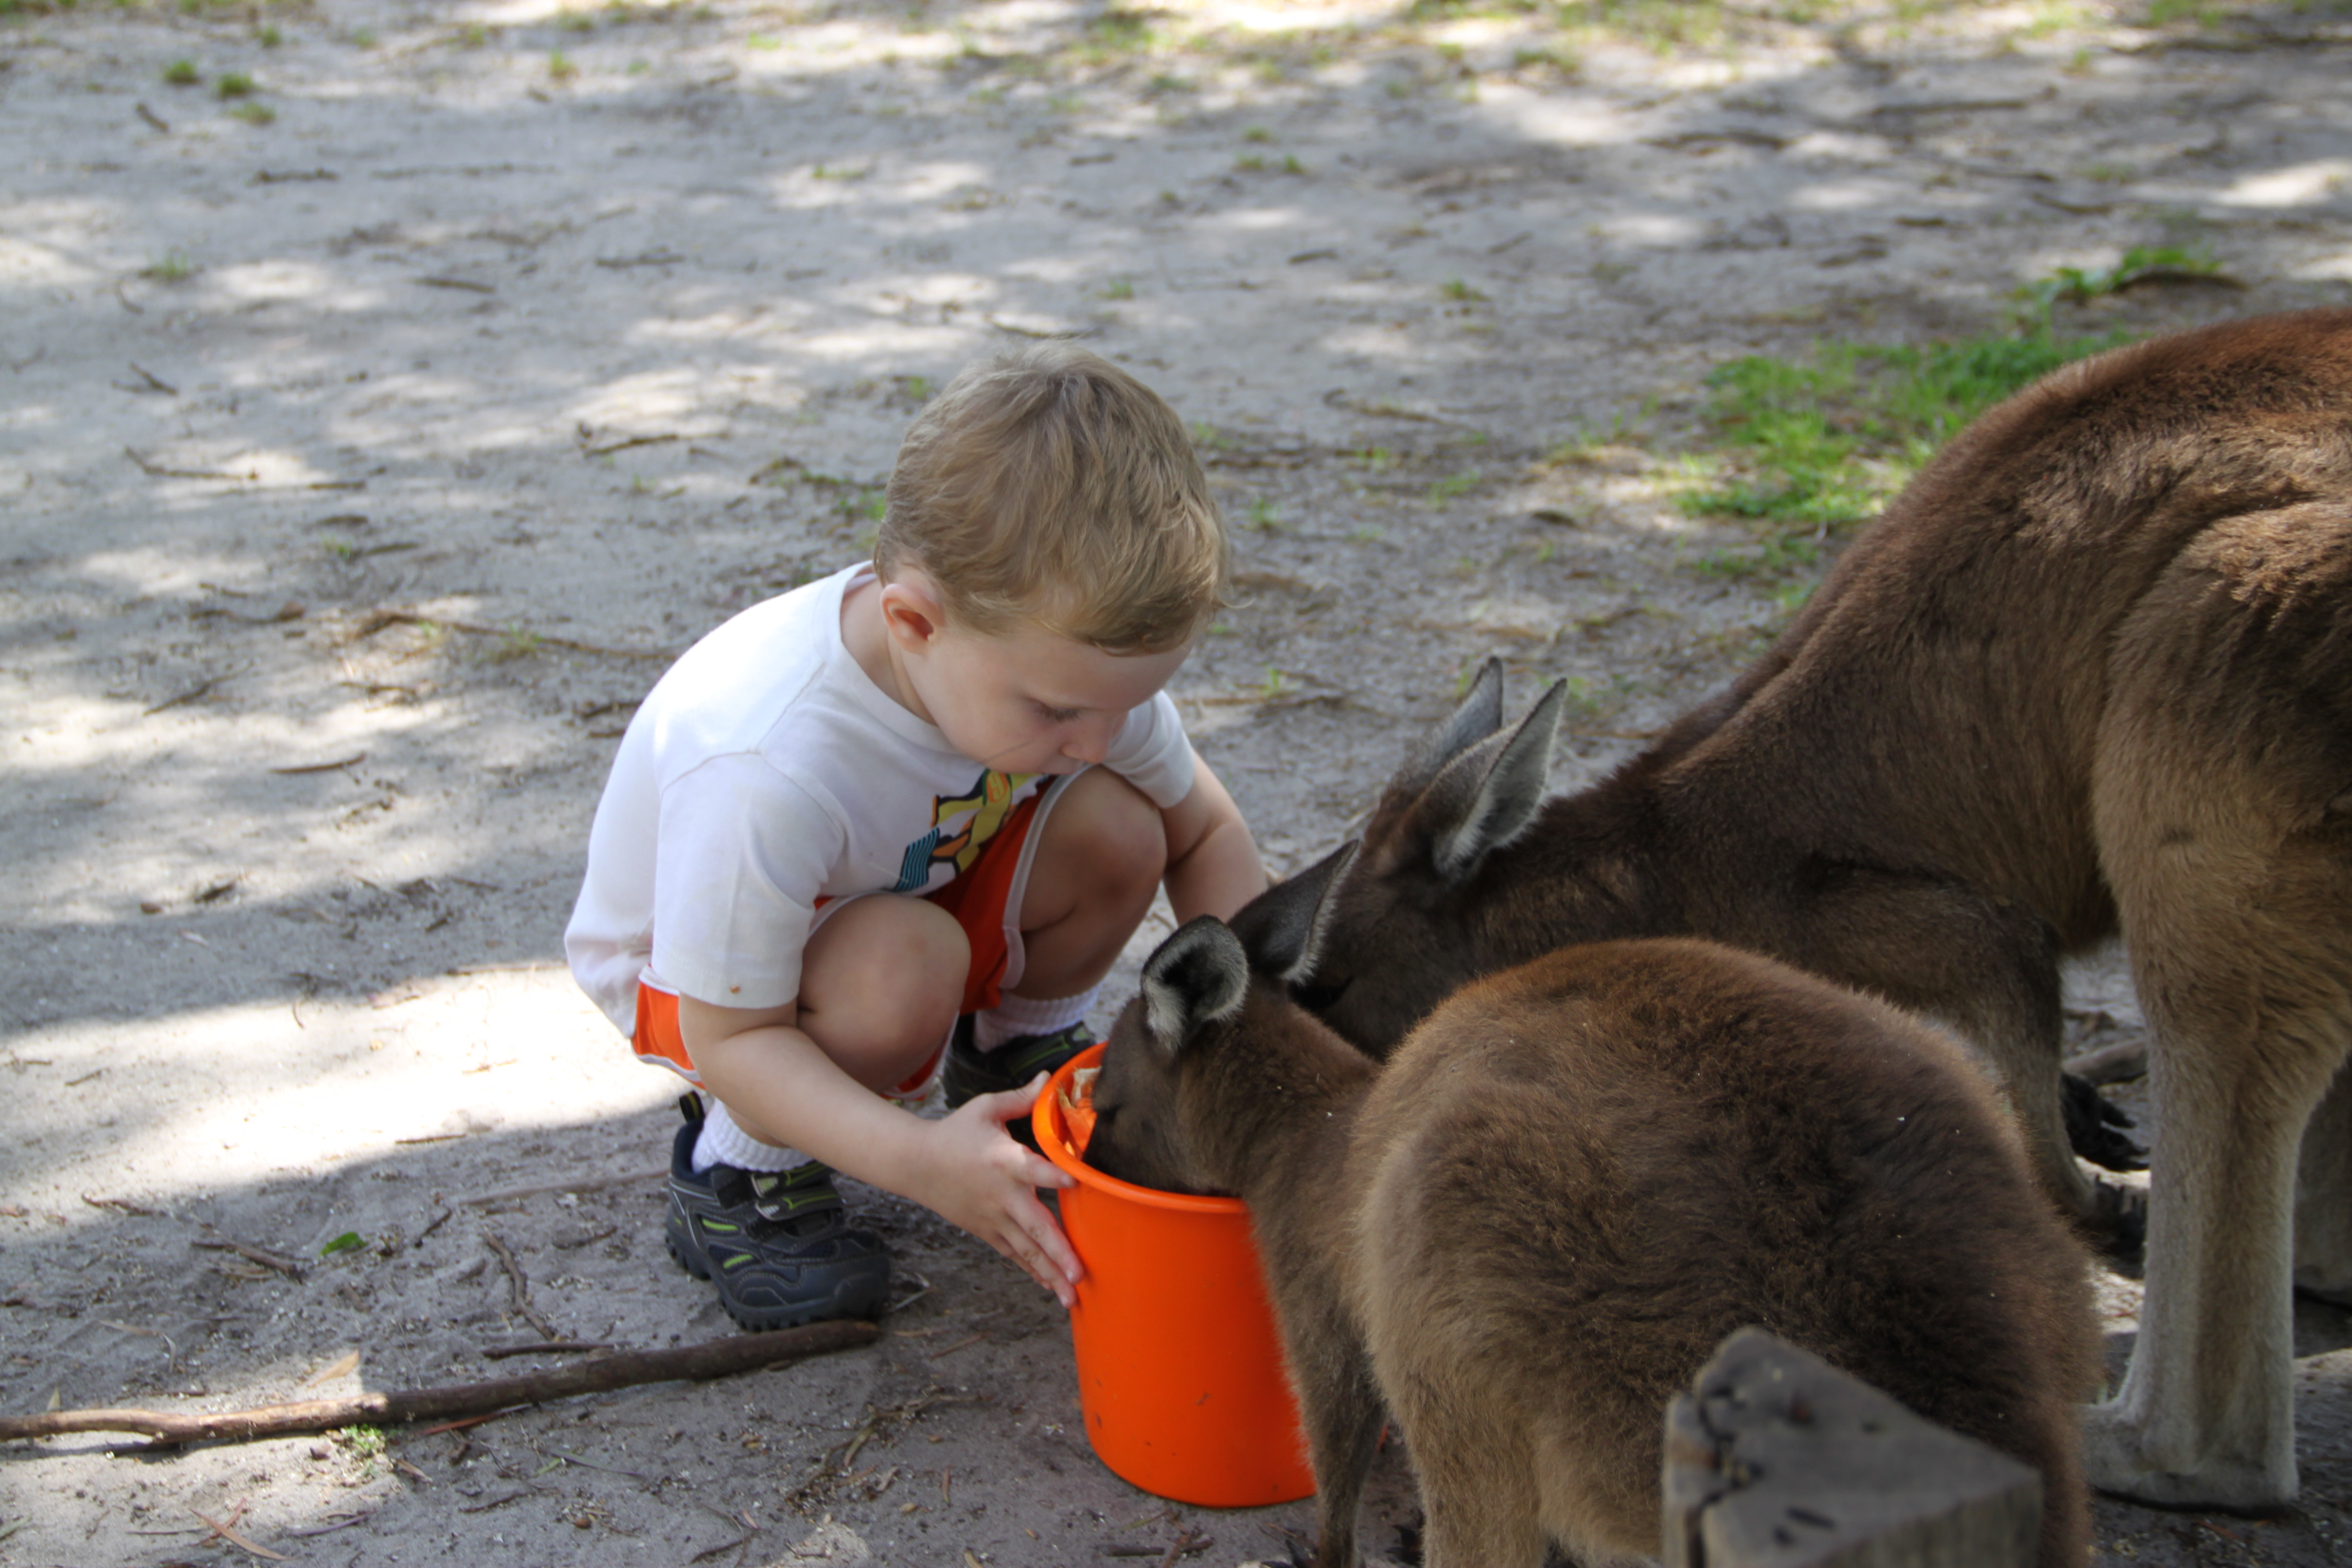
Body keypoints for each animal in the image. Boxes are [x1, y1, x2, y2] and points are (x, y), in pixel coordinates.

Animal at [1087, 914, 2099, 1568]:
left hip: (1474, 1297)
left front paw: (1324, 1551)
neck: (1318, 1122)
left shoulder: (1322, 1285)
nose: (1084, 1161)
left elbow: (1333, 1434)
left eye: (1103, 1104)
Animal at [1241, 309, 2352, 1510]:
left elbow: (2015, 1019)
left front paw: (2094, 1192)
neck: (1675, 847)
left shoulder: (1913, 921)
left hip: (2221, 648)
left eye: (1327, 985)